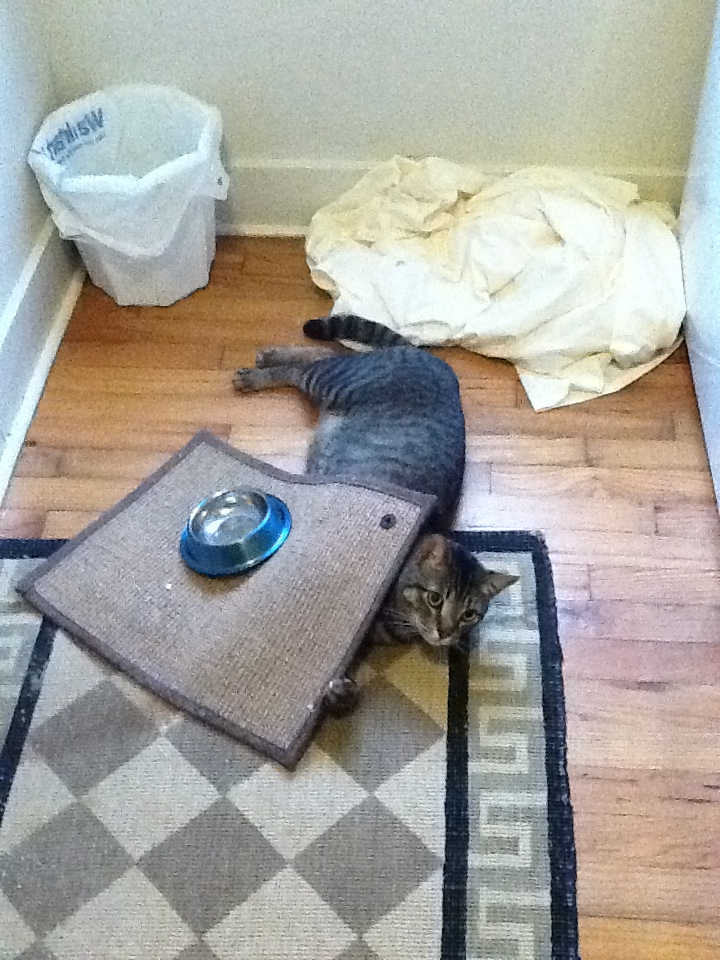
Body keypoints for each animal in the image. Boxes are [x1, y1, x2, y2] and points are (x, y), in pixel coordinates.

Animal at [233, 314, 518, 711]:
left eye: (469, 614)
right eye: (435, 599)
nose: (445, 634)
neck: (399, 622)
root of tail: (430, 357)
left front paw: (340, 692)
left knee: (323, 354)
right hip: (334, 382)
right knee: (310, 364)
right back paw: (260, 368)